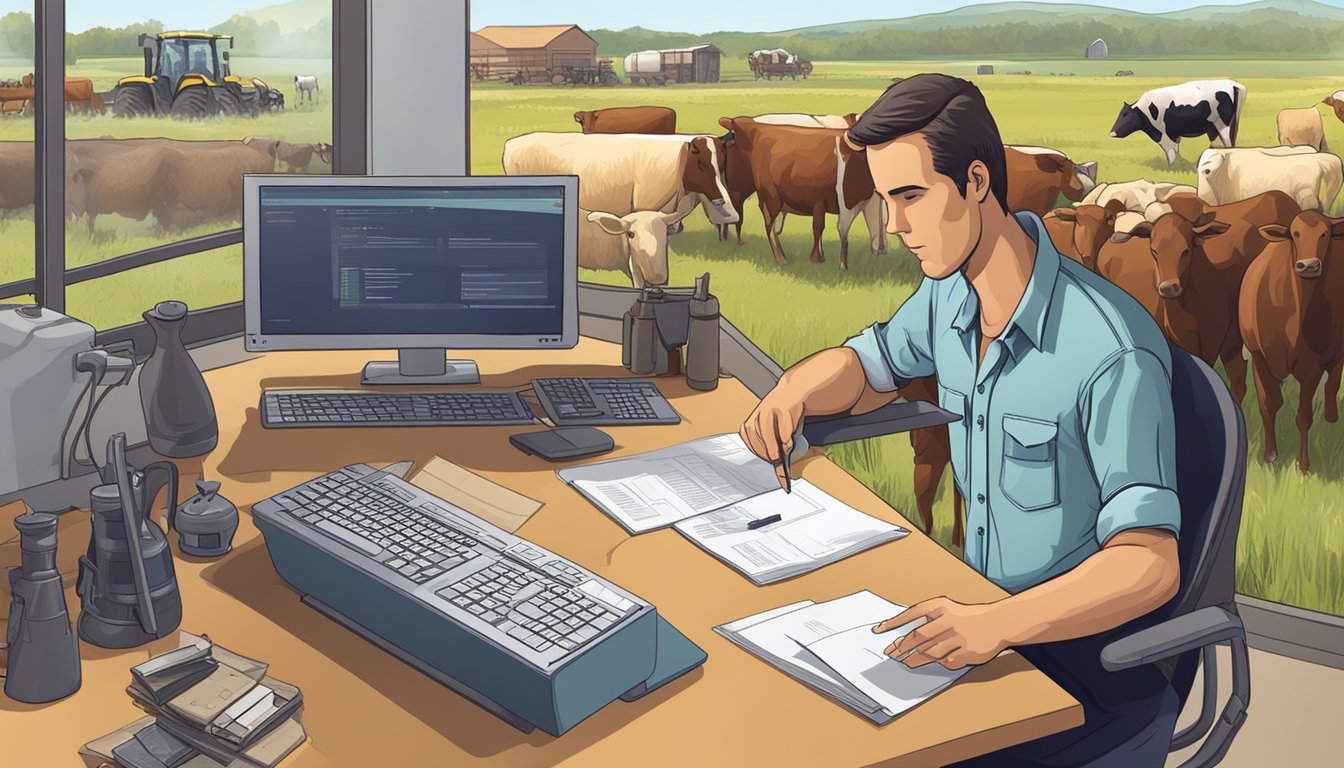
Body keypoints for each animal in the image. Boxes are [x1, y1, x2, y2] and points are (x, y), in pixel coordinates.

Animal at [1107, 79, 1241, 167]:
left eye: (1126, 114)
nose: (1112, 133)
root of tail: (1230, 83)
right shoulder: (1175, 134)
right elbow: (1175, 152)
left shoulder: (1166, 134)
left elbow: (1170, 154)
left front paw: (1171, 169)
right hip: (1212, 127)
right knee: (1216, 143)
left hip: (1222, 124)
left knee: (1227, 142)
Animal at [1236, 212, 1344, 476]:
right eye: (1294, 233)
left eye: (1325, 233)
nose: (1308, 265)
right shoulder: (1259, 357)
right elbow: (1269, 404)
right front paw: (1270, 456)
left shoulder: (1312, 368)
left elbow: (1304, 417)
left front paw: (1303, 466)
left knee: (1334, 379)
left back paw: (1331, 416)